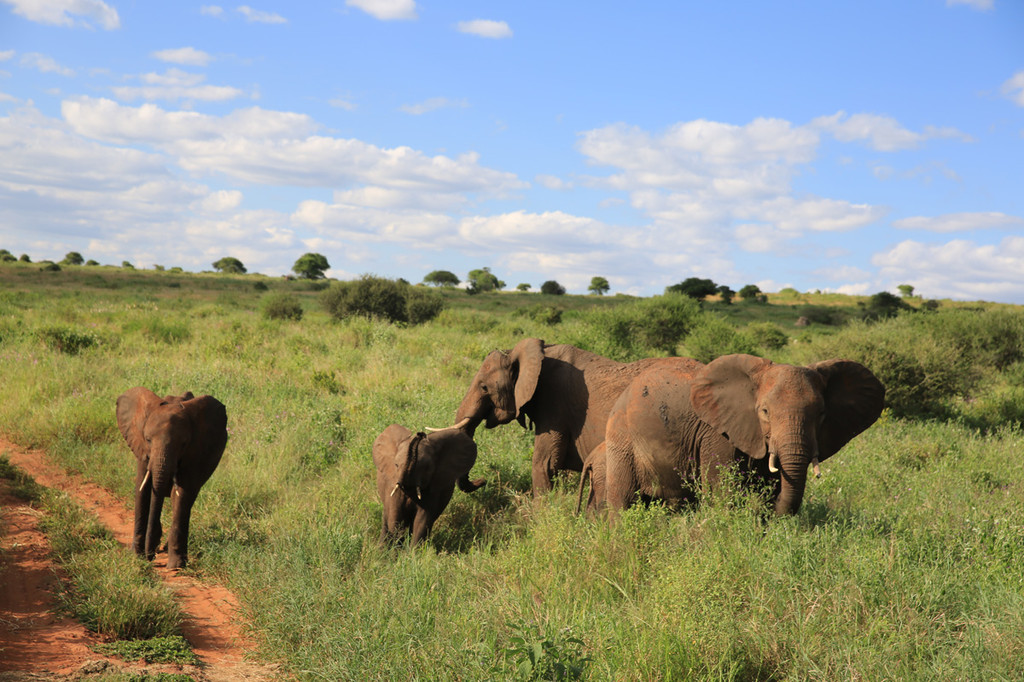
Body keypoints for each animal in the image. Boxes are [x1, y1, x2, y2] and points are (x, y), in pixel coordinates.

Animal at [116, 385, 228, 565]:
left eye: (183, 444)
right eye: (148, 439)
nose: (149, 557)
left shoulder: (193, 454)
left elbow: (182, 494)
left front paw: (176, 566)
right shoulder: (142, 451)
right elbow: (142, 490)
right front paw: (136, 556)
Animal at [593, 356, 888, 516]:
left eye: (822, 414)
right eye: (765, 411)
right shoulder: (716, 434)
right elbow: (722, 492)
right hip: (622, 438)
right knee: (623, 501)